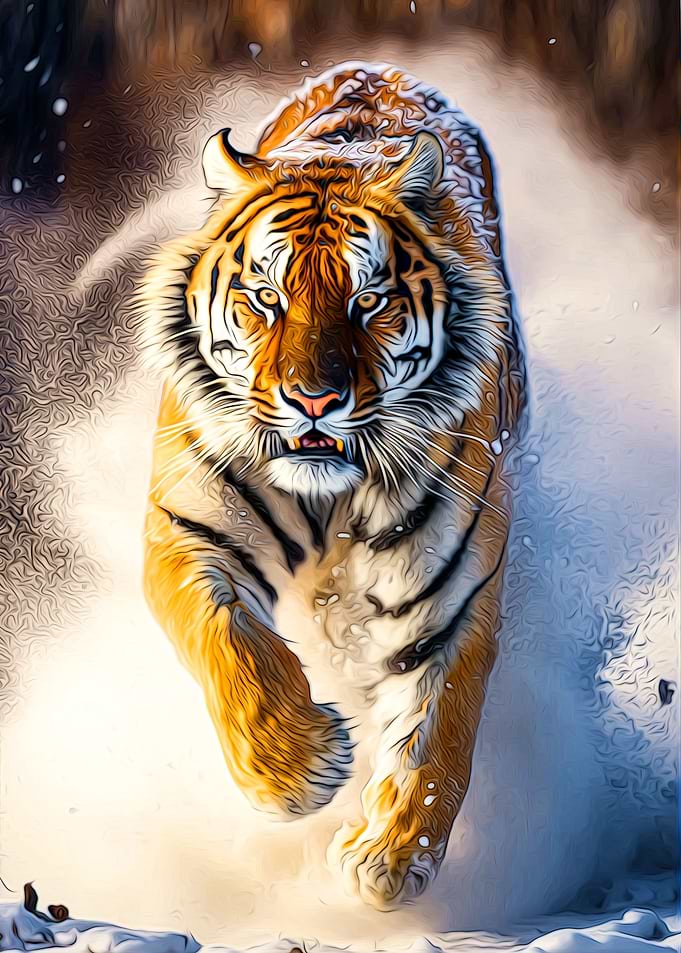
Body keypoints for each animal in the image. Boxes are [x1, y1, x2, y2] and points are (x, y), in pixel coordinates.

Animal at [140, 62, 526, 910]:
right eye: (266, 298)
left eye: (368, 300)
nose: (313, 399)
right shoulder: (188, 525)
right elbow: (228, 642)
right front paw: (295, 769)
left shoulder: (447, 590)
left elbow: (435, 726)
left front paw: (389, 855)